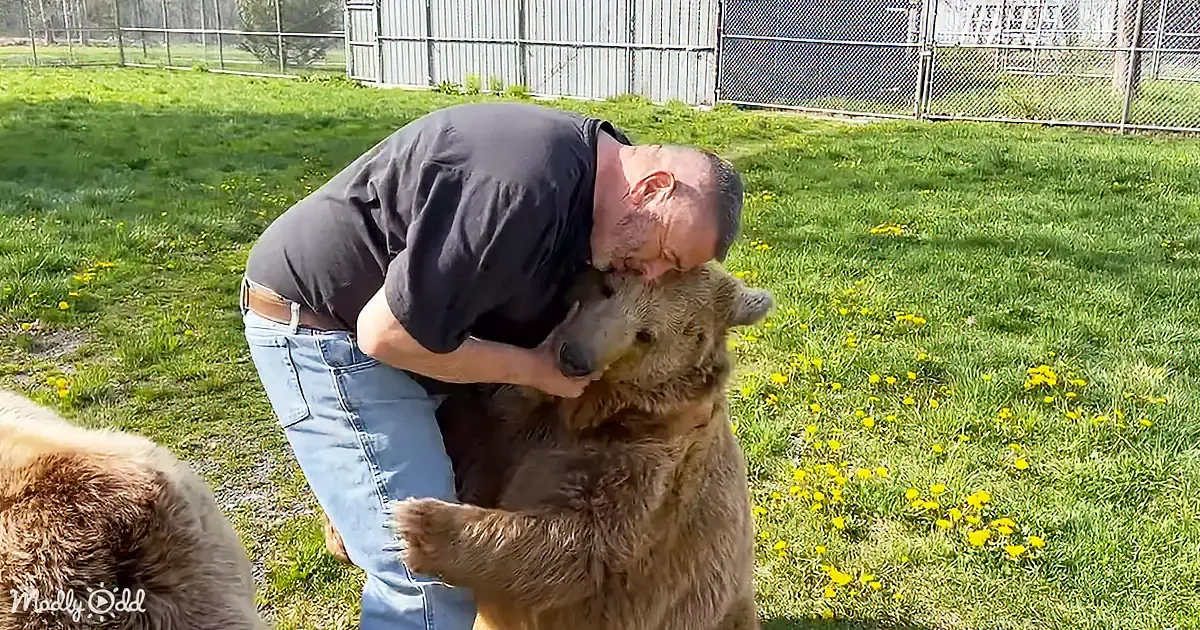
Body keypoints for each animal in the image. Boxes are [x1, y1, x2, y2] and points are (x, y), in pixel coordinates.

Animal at [380, 261, 773, 630]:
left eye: (646, 335)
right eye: (608, 285)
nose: (576, 357)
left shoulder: (647, 466)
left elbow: (581, 542)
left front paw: (414, 522)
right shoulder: (509, 423)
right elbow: (468, 440)